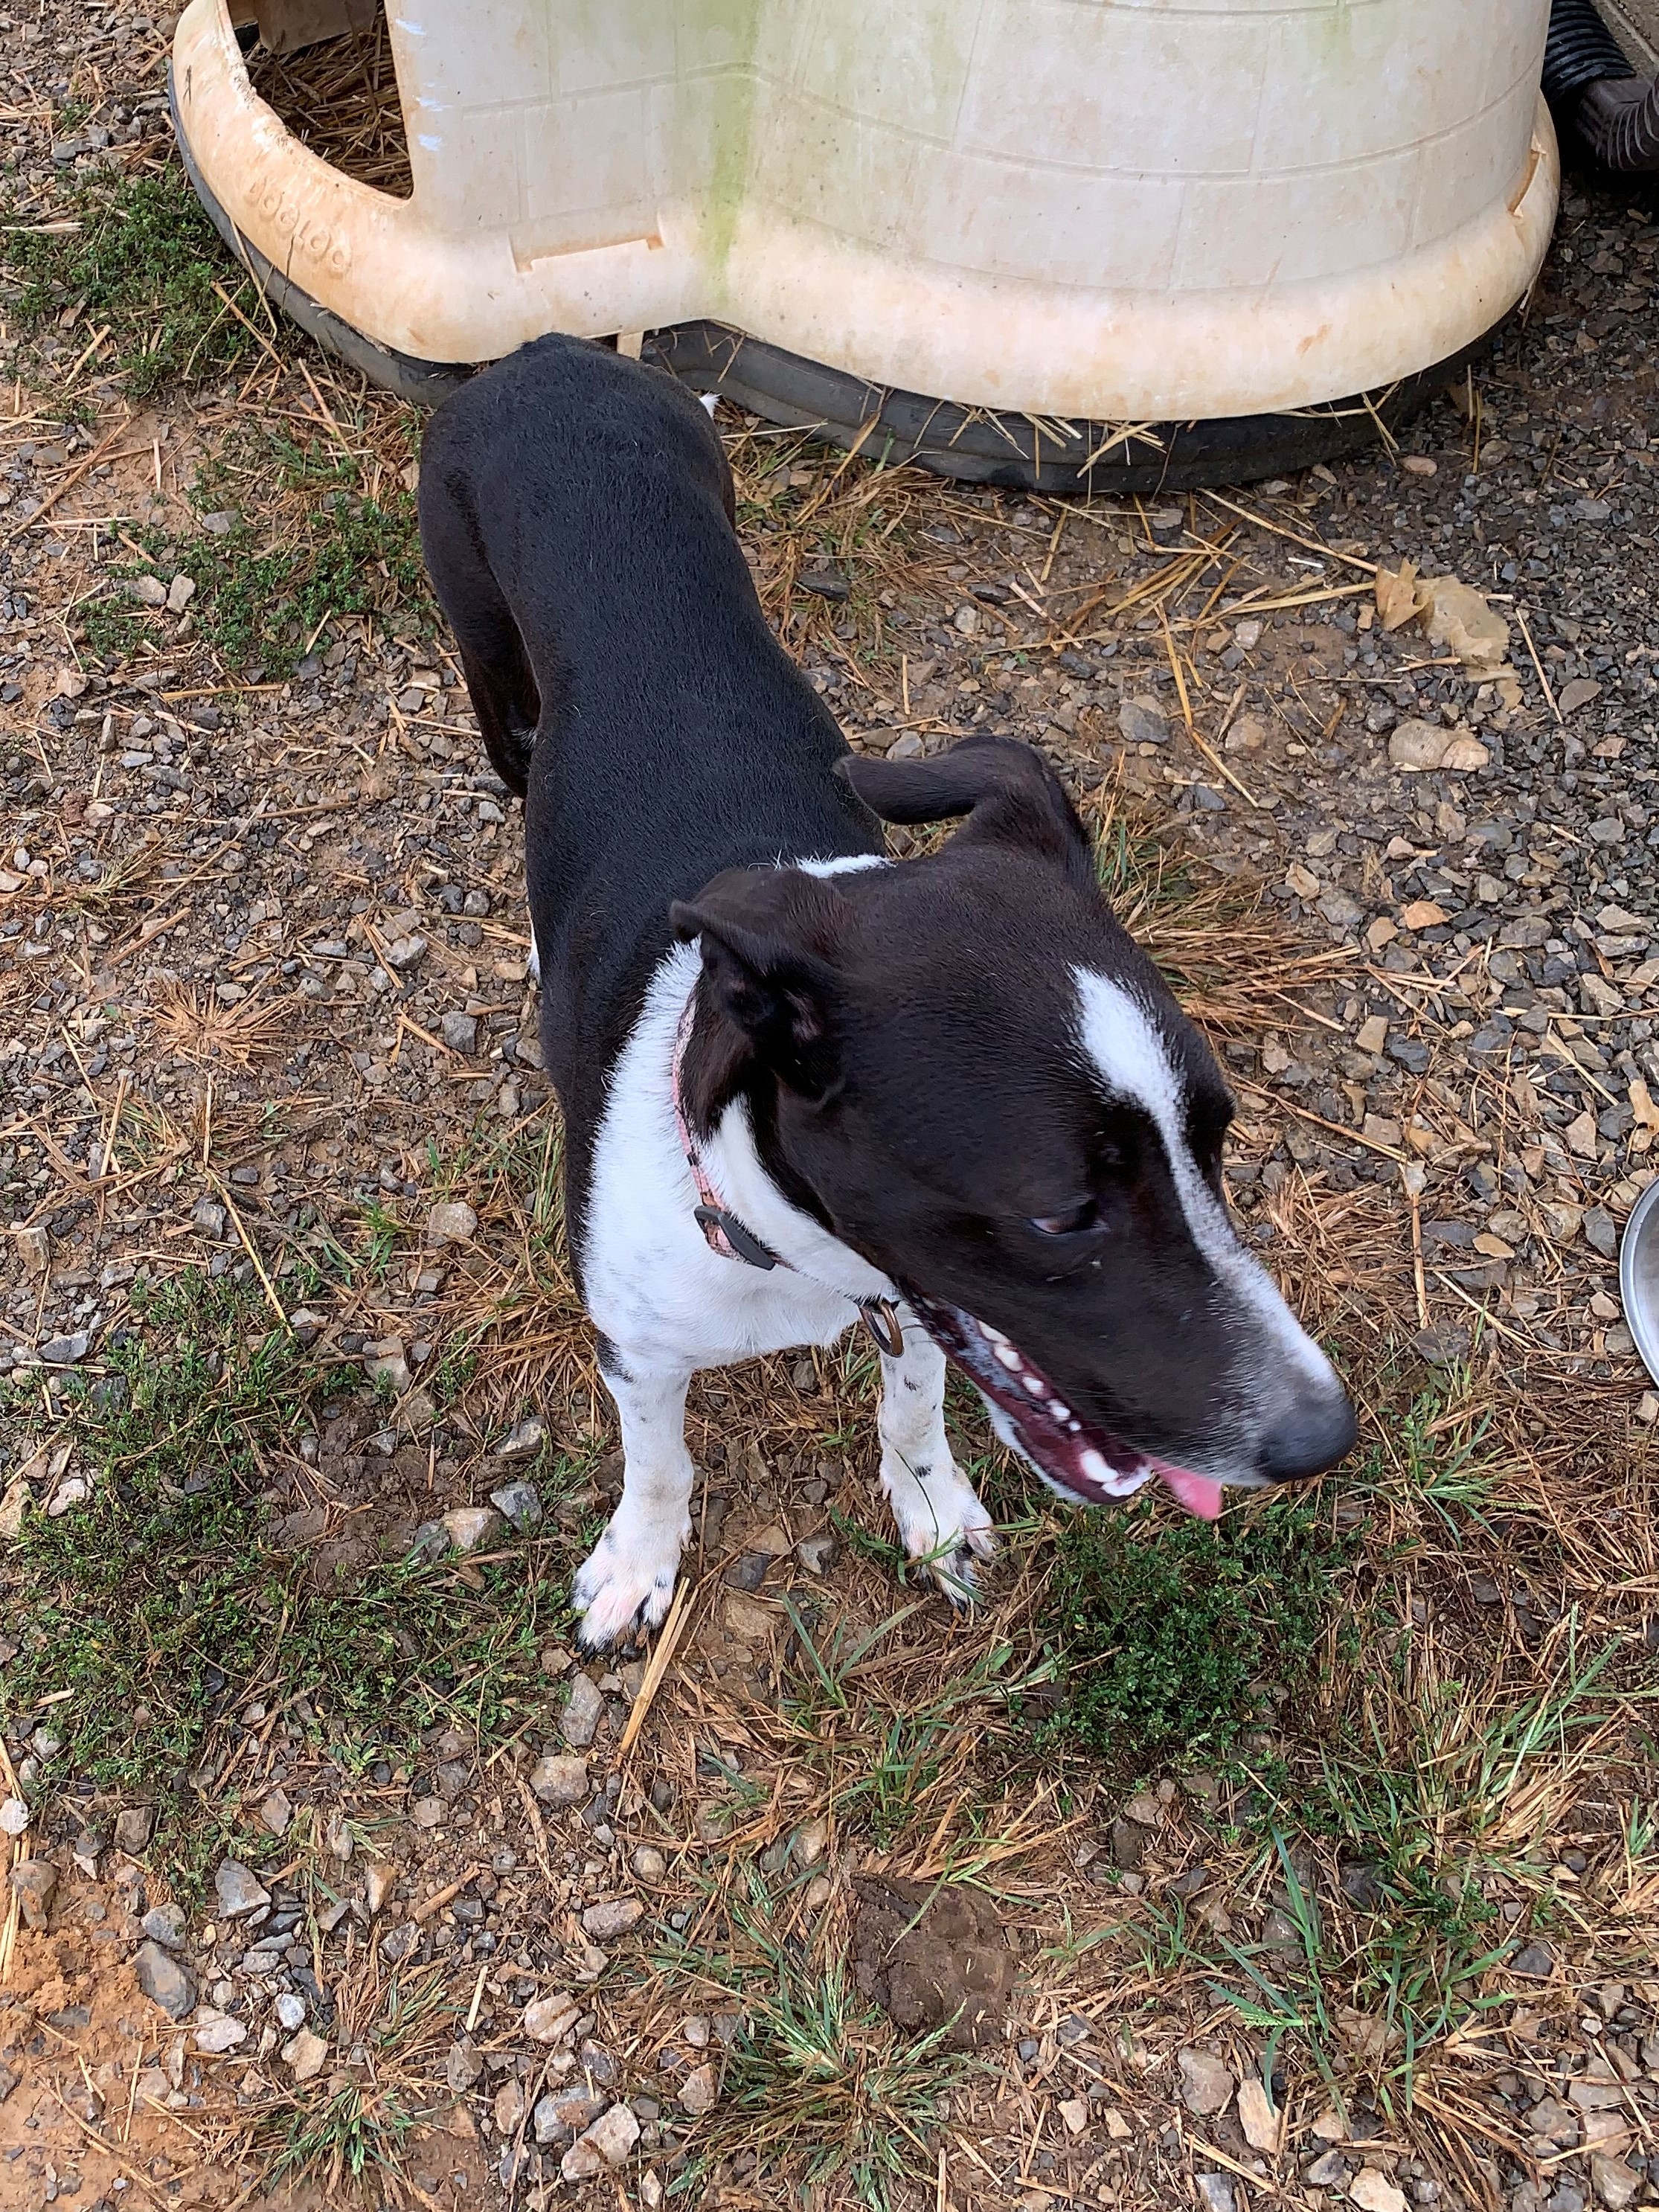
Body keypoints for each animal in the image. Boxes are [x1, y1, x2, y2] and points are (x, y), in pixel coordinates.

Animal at [417, 336, 1362, 1654]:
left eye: (1216, 1140)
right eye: (1063, 1215)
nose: (1323, 1437)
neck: (781, 1250)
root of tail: (552, 350)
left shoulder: (914, 1307)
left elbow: (914, 1406)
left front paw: (929, 1503)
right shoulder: (636, 1345)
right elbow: (658, 1462)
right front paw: (639, 1563)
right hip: (484, 656)